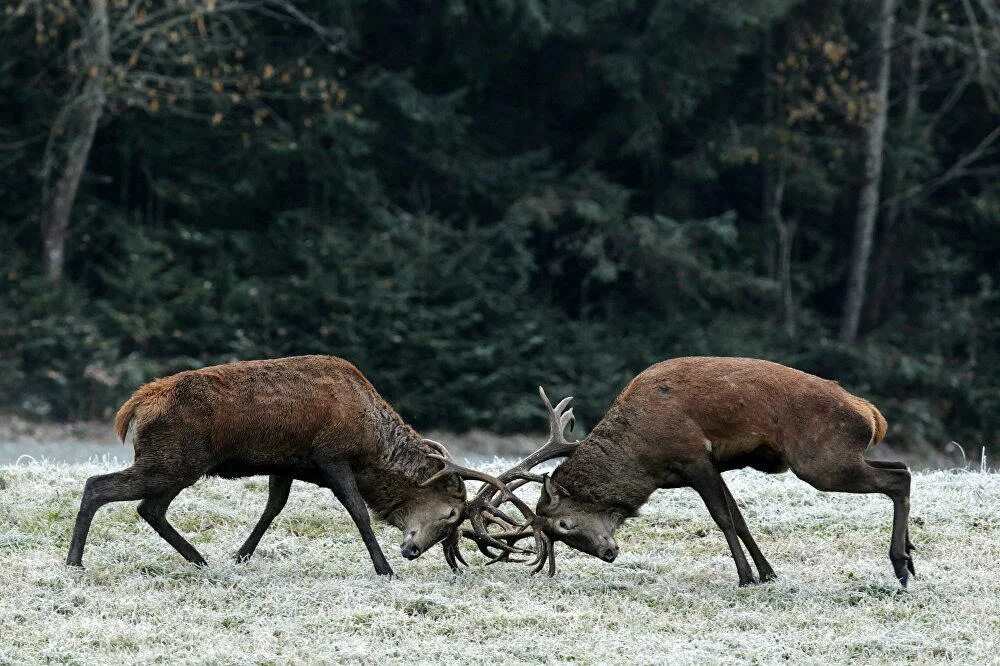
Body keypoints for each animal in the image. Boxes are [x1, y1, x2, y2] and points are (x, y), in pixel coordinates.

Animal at [64, 352, 470, 576]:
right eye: (452, 513)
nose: (412, 551)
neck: (370, 443)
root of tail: (136, 406)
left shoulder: (285, 465)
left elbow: (273, 507)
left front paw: (240, 555)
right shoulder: (332, 456)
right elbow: (358, 511)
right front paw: (385, 569)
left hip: (177, 466)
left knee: (149, 508)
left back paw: (200, 560)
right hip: (172, 461)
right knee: (97, 485)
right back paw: (74, 563)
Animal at [434, 358, 916, 588]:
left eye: (564, 526)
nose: (608, 553)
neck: (645, 457)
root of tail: (872, 414)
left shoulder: (693, 457)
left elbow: (723, 518)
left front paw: (745, 578)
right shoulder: (710, 465)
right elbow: (740, 517)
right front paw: (768, 573)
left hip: (818, 460)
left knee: (901, 476)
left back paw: (901, 565)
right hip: (836, 458)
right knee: (900, 466)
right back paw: (909, 556)